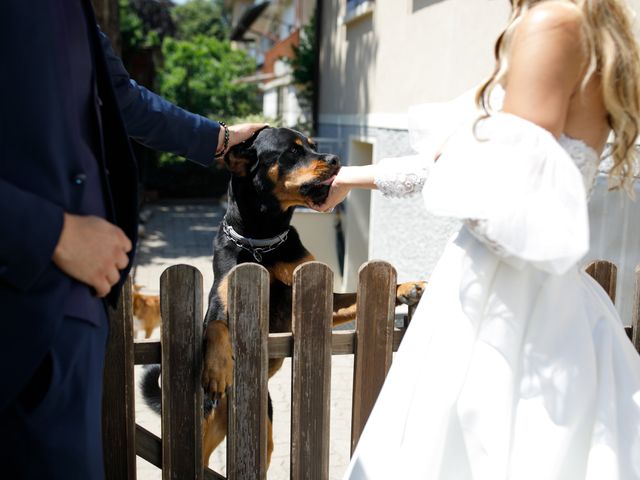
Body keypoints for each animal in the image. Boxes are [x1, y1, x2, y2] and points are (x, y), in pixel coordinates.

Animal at [143, 126, 428, 464]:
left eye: (313, 146)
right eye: (292, 151)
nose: (336, 159)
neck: (263, 241)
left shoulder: (316, 299)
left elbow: (354, 297)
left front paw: (407, 287)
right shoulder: (218, 299)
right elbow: (214, 326)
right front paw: (217, 368)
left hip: (264, 438)